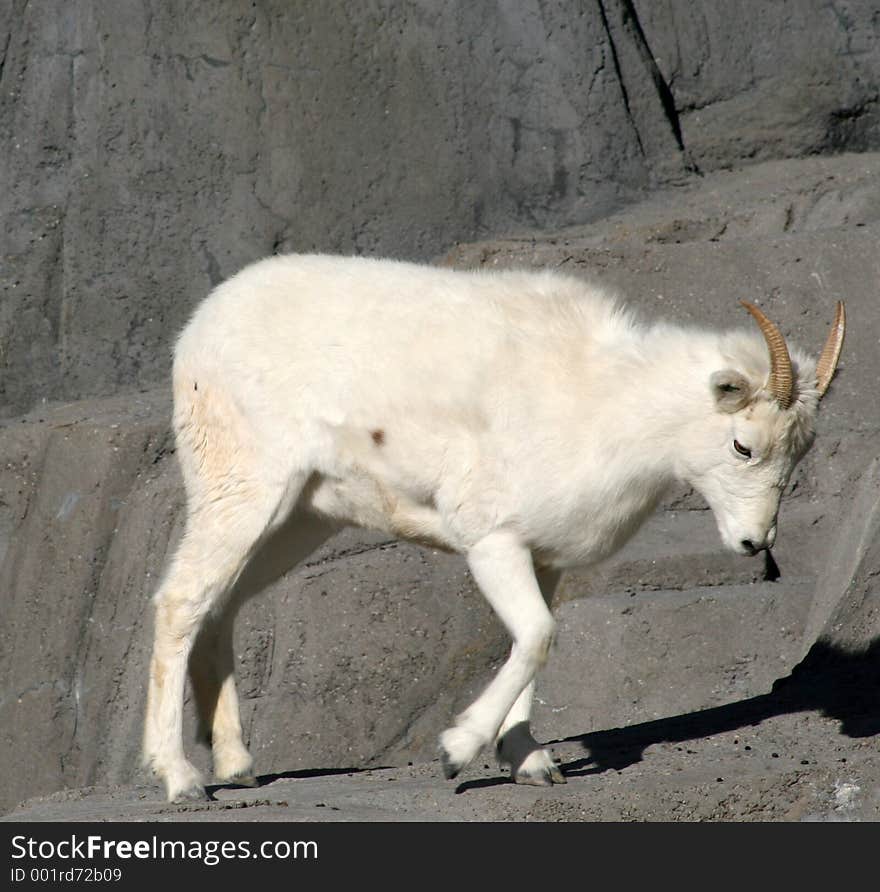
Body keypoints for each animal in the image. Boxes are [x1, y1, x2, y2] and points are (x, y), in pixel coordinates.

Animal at [143, 253, 844, 800]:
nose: (753, 542)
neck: (600, 405)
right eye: (743, 446)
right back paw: (181, 779)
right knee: (181, 601)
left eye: (799, 452)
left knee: (222, 605)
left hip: (298, 521)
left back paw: (237, 766)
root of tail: (198, 332)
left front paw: (530, 763)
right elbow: (537, 636)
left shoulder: (542, 559)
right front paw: (456, 752)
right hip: (243, 492)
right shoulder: (491, 543)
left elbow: (533, 642)